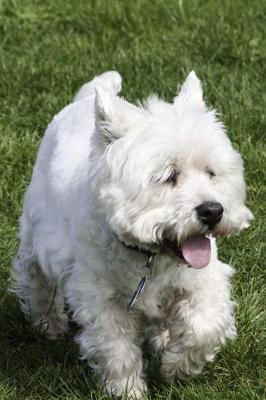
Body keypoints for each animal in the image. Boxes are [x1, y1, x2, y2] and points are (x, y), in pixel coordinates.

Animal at [11, 71, 254, 396]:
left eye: (211, 173)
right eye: (168, 176)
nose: (213, 211)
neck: (150, 255)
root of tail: (84, 99)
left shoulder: (204, 280)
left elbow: (205, 326)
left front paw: (175, 367)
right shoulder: (99, 298)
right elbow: (116, 348)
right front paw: (127, 389)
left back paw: (163, 338)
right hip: (35, 233)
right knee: (35, 278)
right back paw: (47, 324)